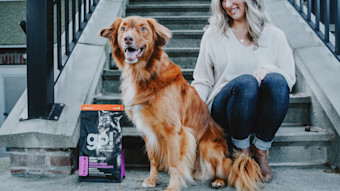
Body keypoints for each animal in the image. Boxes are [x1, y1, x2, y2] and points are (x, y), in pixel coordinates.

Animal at [99, 16, 262, 191]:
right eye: (123, 29)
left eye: (143, 29)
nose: (127, 39)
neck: (144, 75)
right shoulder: (147, 130)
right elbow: (153, 158)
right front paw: (152, 180)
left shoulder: (174, 131)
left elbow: (174, 162)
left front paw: (173, 186)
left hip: (207, 147)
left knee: (225, 168)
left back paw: (218, 180)